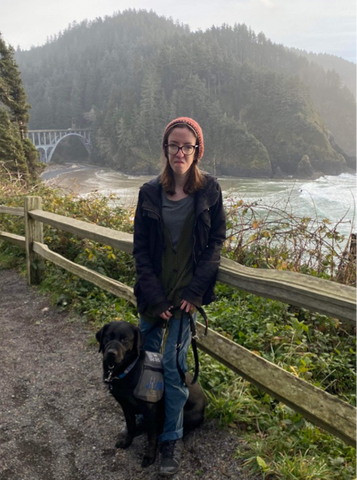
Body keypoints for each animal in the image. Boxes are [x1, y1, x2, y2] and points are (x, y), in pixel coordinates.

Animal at [96, 320, 204, 466]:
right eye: (108, 336)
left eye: (125, 339)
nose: (111, 353)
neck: (129, 368)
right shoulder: (125, 406)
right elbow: (130, 426)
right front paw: (127, 442)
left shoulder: (151, 410)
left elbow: (151, 437)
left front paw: (150, 456)